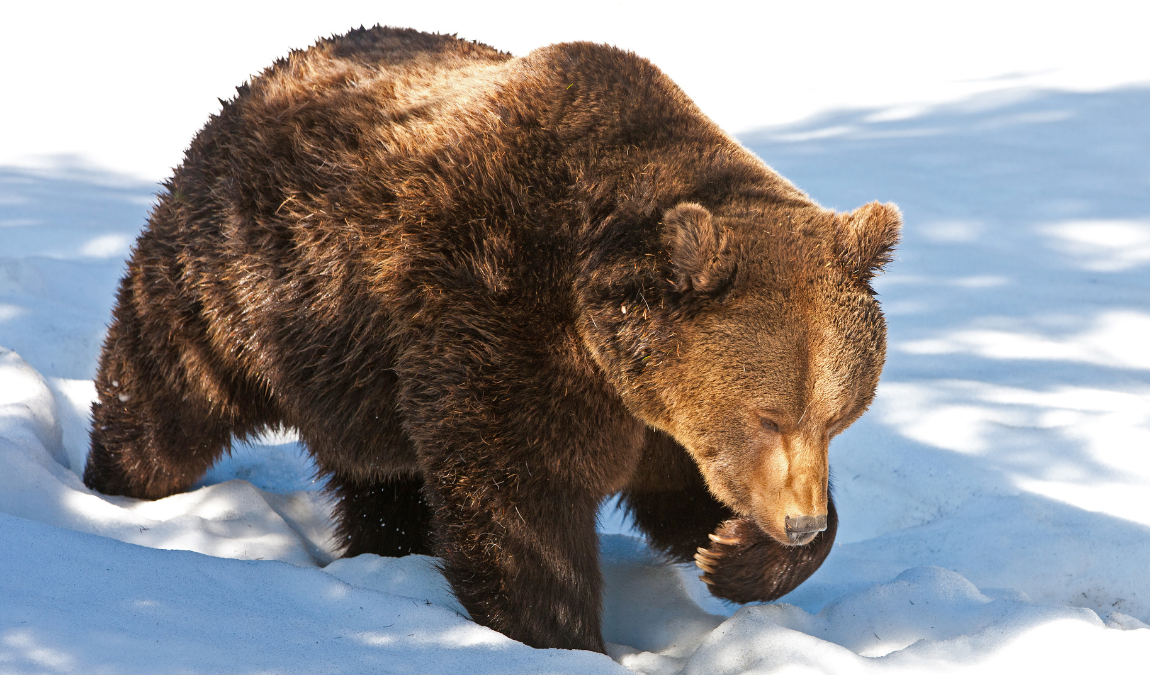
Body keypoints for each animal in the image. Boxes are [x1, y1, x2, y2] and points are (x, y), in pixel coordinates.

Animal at [85, 26, 901, 653]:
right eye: (768, 415)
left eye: (838, 416)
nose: (798, 521)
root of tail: (266, 78)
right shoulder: (506, 316)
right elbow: (522, 499)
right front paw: (561, 636)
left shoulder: (657, 411)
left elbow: (678, 495)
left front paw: (732, 552)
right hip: (243, 288)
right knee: (167, 395)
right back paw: (112, 487)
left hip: (363, 374)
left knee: (383, 474)